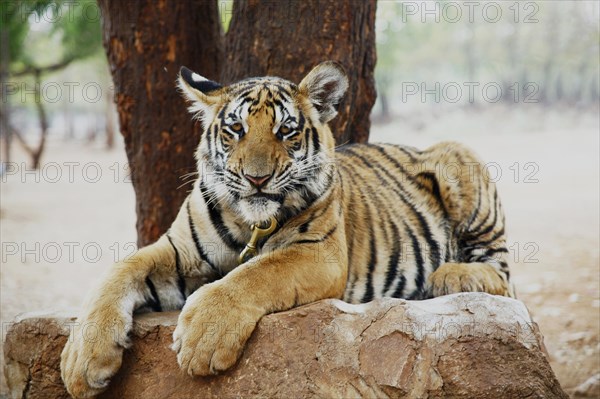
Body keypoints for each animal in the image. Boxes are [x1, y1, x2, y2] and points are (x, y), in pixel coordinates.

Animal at [59, 61, 510, 398]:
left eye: (286, 131)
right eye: (236, 129)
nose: (257, 178)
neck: (249, 223)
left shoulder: (318, 252)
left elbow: (256, 272)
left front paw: (204, 336)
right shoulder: (179, 249)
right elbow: (119, 271)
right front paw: (81, 359)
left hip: (457, 157)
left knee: (503, 276)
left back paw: (452, 276)